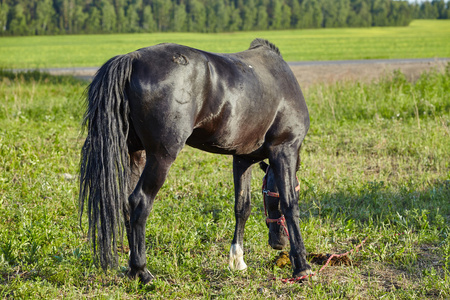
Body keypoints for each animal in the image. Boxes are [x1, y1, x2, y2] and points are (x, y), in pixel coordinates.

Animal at [79, 38, 312, 284]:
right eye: (269, 196)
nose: (279, 243)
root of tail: (132, 58)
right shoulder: (284, 150)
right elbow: (290, 204)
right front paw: (302, 266)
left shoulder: (242, 159)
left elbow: (242, 207)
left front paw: (237, 261)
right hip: (161, 157)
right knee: (139, 201)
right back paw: (142, 271)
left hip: (135, 154)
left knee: (125, 203)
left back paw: (133, 266)